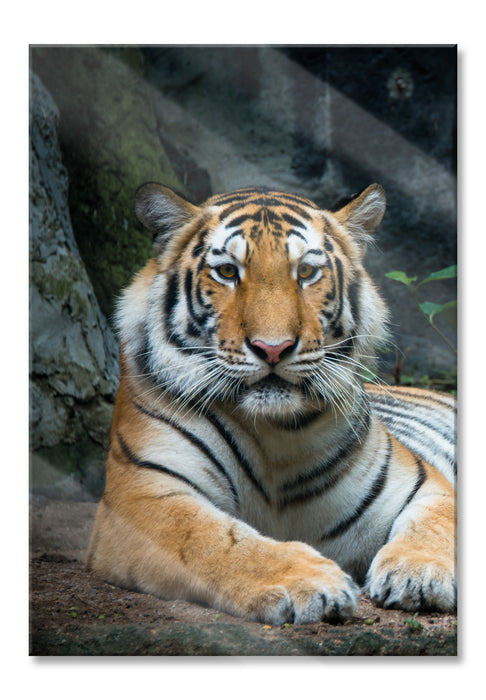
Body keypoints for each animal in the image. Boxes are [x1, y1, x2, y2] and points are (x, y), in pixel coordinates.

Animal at [86, 182, 456, 625]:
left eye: (307, 273)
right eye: (228, 272)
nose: (273, 348)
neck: (276, 433)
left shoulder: (422, 483)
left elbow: (436, 523)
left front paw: (420, 572)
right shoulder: (143, 495)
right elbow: (216, 541)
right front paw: (311, 581)